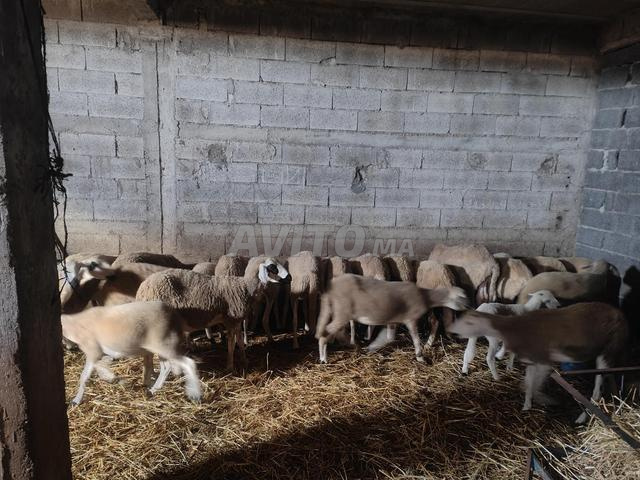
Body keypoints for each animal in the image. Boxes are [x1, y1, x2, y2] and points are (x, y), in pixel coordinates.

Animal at [61, 301, 201, 405]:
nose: (69, 348)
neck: (73, 325)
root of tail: (174, 315)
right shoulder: (101, 354)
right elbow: (96, 370)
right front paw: (113, 379)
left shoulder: (93, 350)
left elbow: (85, 375)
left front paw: (76, 400)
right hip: (162, 346)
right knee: (166, 367)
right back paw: (154, 389)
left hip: (164, 345)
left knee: (188, 363)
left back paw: (195, 394)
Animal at [136, 260, 290, 370]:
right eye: (273, 267)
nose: (289, 278)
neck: (245, 287)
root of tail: (142, 290)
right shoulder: (231, 320)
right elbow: (231, 344)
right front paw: (230, 366)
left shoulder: (236, 321)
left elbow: (240, 341)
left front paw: (244, 360)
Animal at [316, 274, 467, 363]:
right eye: (462, 297)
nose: (468, 307)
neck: (425, 297)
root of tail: (331, 287)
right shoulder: (411, 318)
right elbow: (416, 339)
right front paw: (420, 357)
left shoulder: (393, 320)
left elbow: (389, 338)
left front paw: (373, 346)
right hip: (343, 312)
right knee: (327, 332)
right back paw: (324, 358)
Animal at [447, 302, 628, 423]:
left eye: (469, 322)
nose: (452, 333)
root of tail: (620, 315)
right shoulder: (533, 360)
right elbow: (528, 385)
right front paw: (527, 405)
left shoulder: (543, 359)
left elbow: (534, 383)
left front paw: (543, 400)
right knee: (610, 378)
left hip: (608, 350)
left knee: (598, 390)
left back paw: (583, 418)